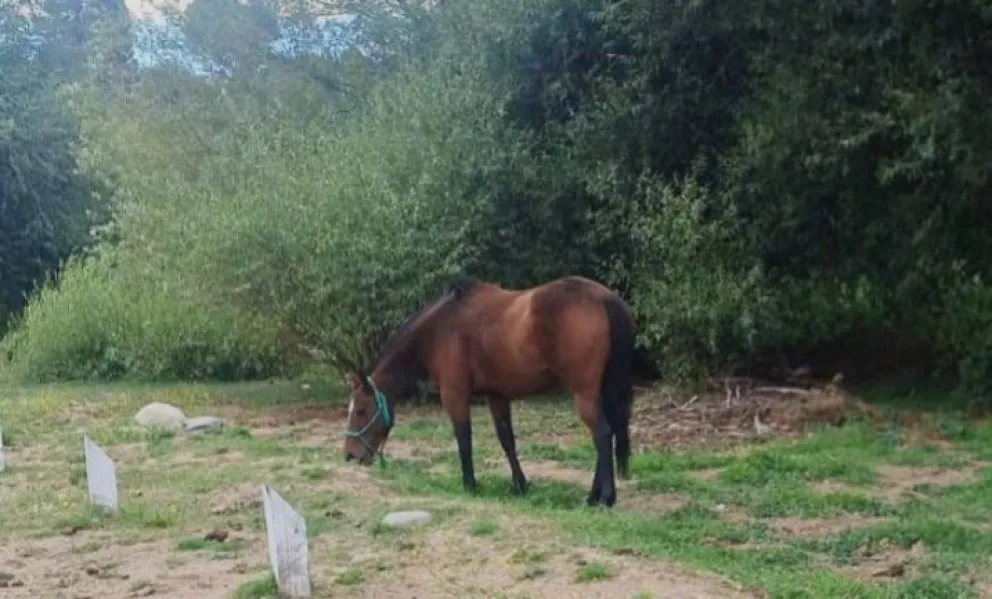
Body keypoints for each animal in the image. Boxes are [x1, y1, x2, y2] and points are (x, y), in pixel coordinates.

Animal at [341, 275, 635, 507]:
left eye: (360, 410)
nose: (349, 455)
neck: (440, 329)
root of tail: (605, 298)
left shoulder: (455, 395)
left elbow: (464, 439)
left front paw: (469, 484)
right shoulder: (497, 396)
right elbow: (507, 440)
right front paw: (520, 485)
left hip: (584, 393)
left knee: (602, 434)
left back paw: (604, 498)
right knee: (607, 435)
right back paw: (593, 495)